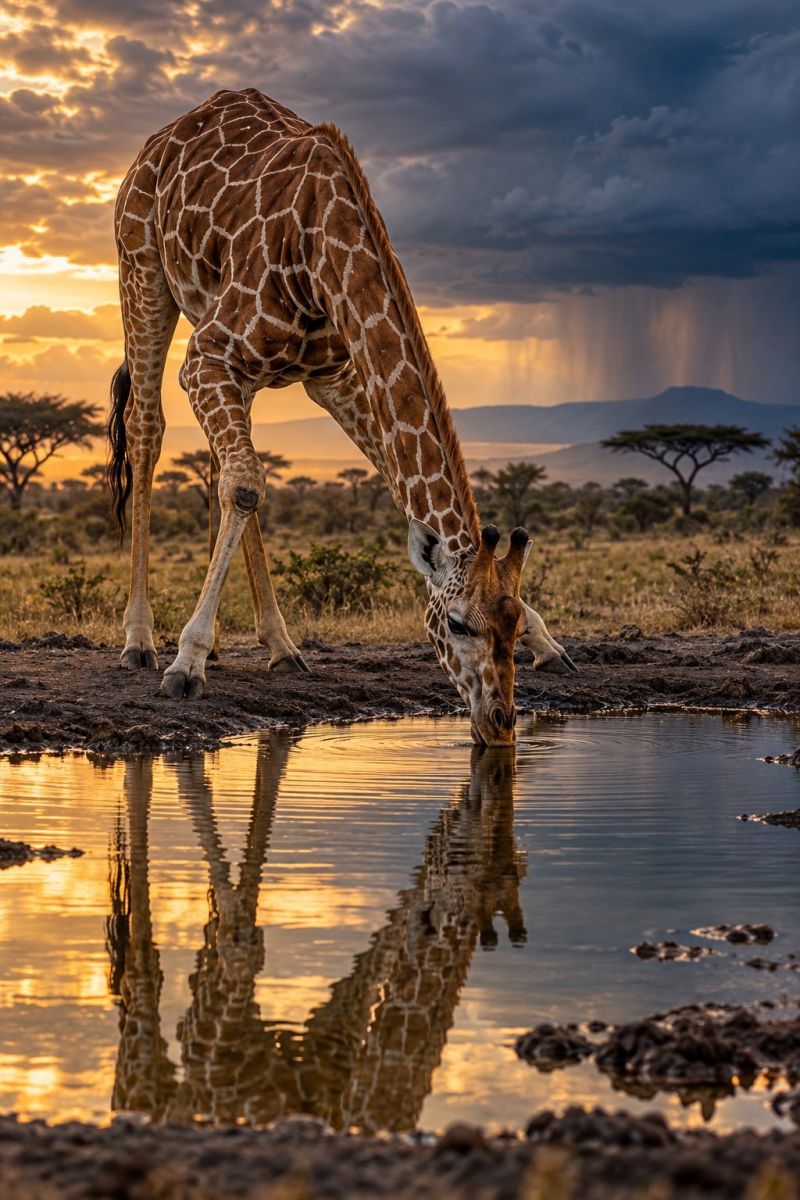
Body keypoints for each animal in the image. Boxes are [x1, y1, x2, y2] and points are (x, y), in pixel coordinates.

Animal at [109, 88, 576, 745]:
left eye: (507, 623)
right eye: (456, 624)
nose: (500, 722)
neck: (321, 246)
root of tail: (157, 143)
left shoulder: (332, 374)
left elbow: (375, 478)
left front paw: (547, 639)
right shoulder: (208, 356)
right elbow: (246, 483)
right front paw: (186, 662)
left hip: (236, 355)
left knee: (230, 467)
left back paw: (278, 646)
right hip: (144, 271)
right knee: (150, 431)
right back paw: (142, 641)